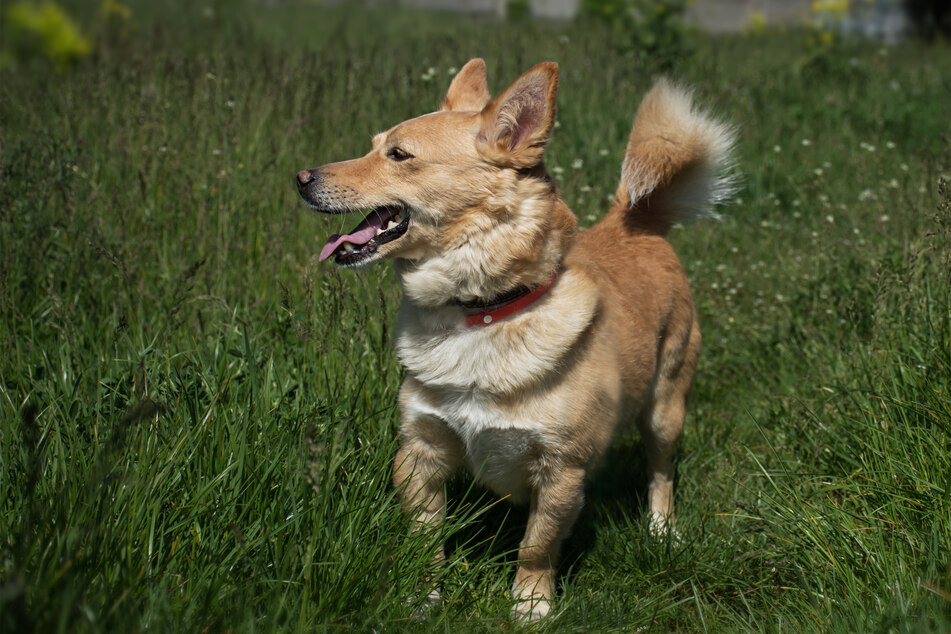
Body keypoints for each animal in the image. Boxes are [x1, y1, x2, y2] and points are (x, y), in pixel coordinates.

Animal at [298, 59, 736, 616]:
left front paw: (530, 605)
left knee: (661, 474)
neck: (483, 313)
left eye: (399, 155)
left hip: (666, 407)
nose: (301, 178)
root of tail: (631, 221)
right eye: (373, 145)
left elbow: (537, 544)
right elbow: (425, 537)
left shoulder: (561, 470)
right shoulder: (421, 452)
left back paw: (661, 533)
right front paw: (423, 595)